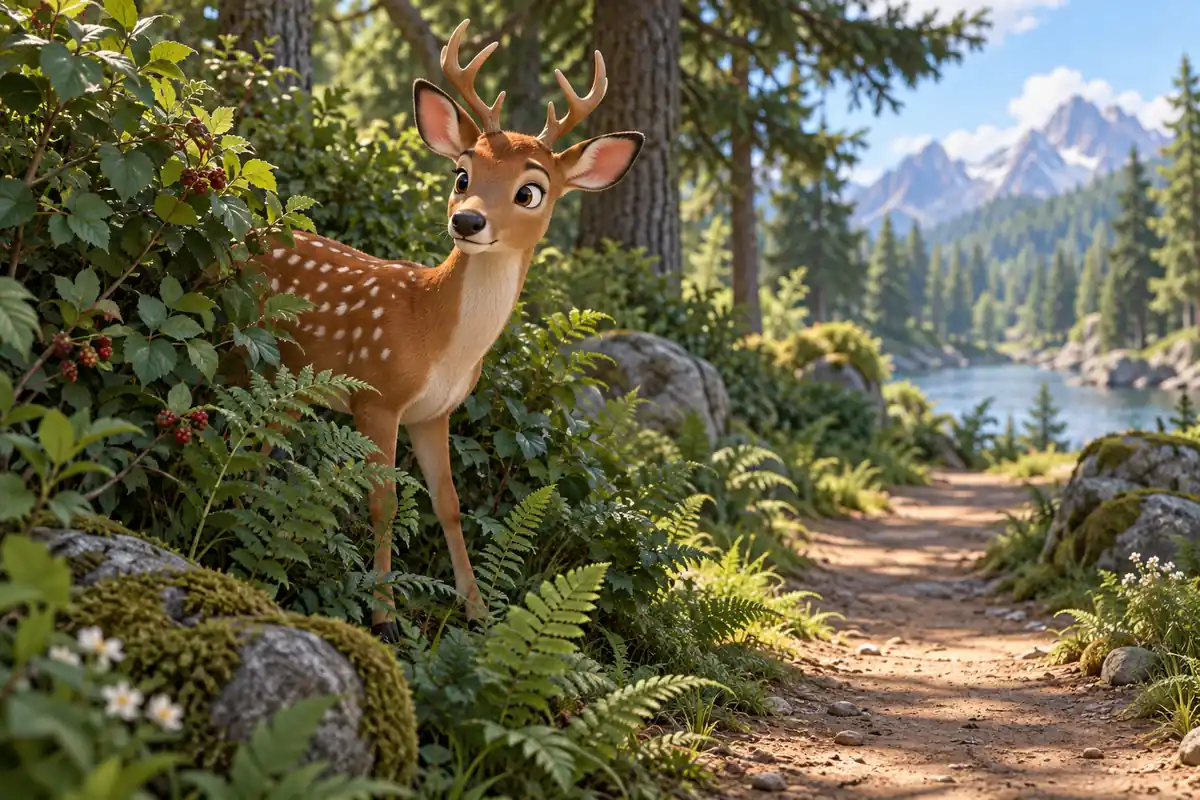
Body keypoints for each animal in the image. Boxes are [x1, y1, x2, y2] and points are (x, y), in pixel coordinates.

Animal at [249, 18, 644, 641]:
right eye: (462, 174)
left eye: (530, 190)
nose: (468, 219)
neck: (434, 330)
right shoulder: (377, 395)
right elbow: (384, 502)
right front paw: (384, 616)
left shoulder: (434, 412)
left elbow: (449, 504)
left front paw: (478, 611)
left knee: (264, 440)